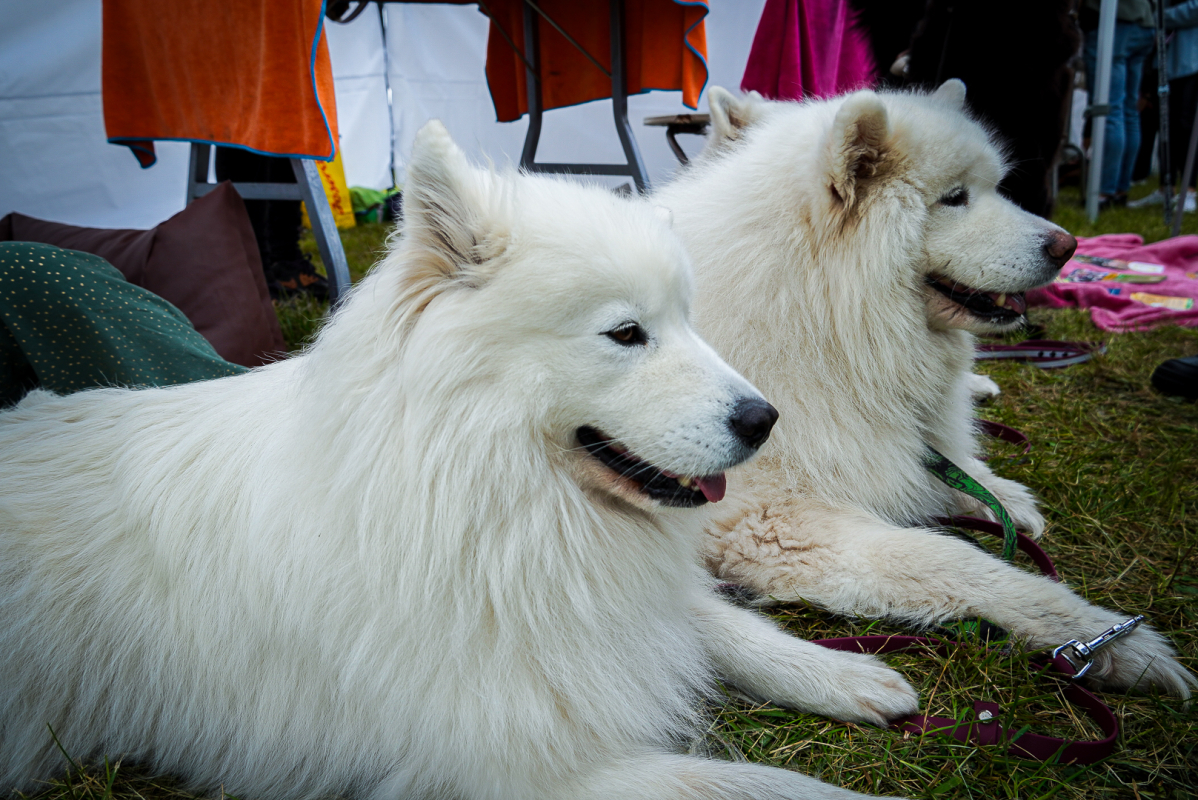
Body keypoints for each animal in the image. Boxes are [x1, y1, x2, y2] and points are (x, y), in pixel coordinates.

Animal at [2, 123, 915, 800]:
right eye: (627, 333)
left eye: (689, 318)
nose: (766, 420)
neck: (472, 485)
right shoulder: (503, 768)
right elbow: (767, 787)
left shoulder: (602, 607)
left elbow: (720, 623)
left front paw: (844, 676)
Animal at [656, 77, 1198, 694]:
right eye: (955, 198)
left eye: (993, 188)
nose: (1068, 246)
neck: (817, 310)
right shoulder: (764, 519)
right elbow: (950, 560)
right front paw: (1110, 640)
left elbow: (955, 466)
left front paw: (1002, 495)